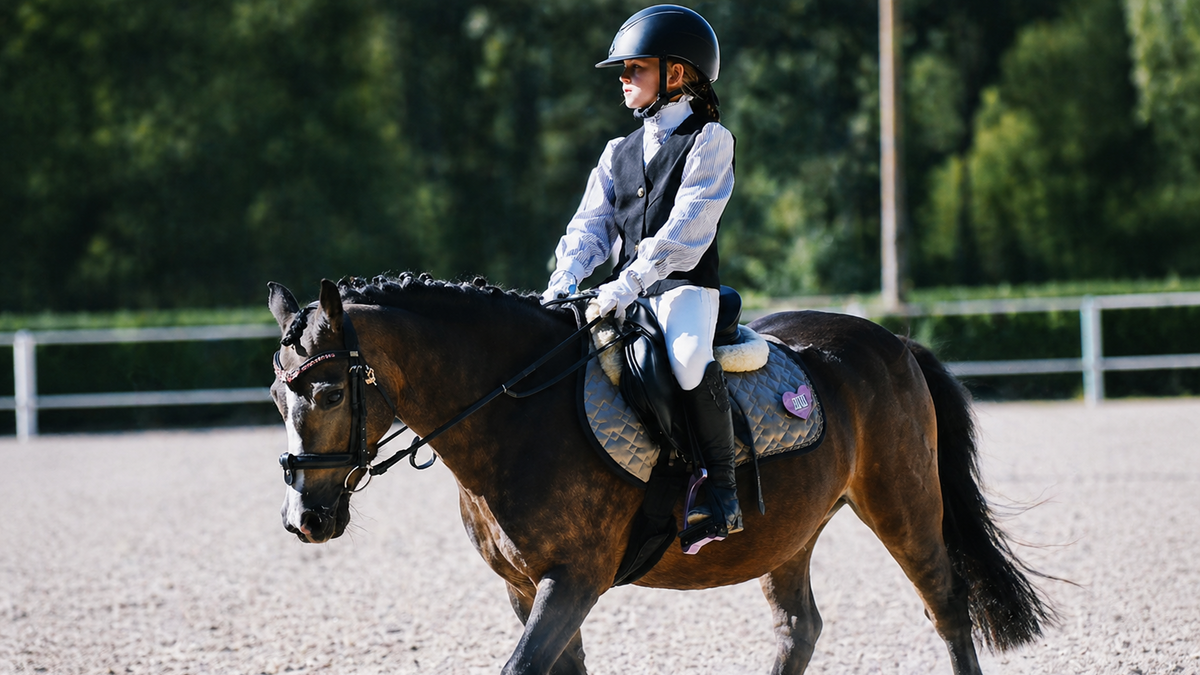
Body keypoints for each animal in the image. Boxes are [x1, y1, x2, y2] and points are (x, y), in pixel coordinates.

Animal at [266, 273, 1052, 675]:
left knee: (946, 607)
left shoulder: (572, 579)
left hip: (903, 503)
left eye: (329, 394)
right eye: (276, 395)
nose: (305, 520)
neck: (516, 410)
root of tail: (891, 339)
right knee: (798, 627)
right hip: (789, 532)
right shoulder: (525, 588)